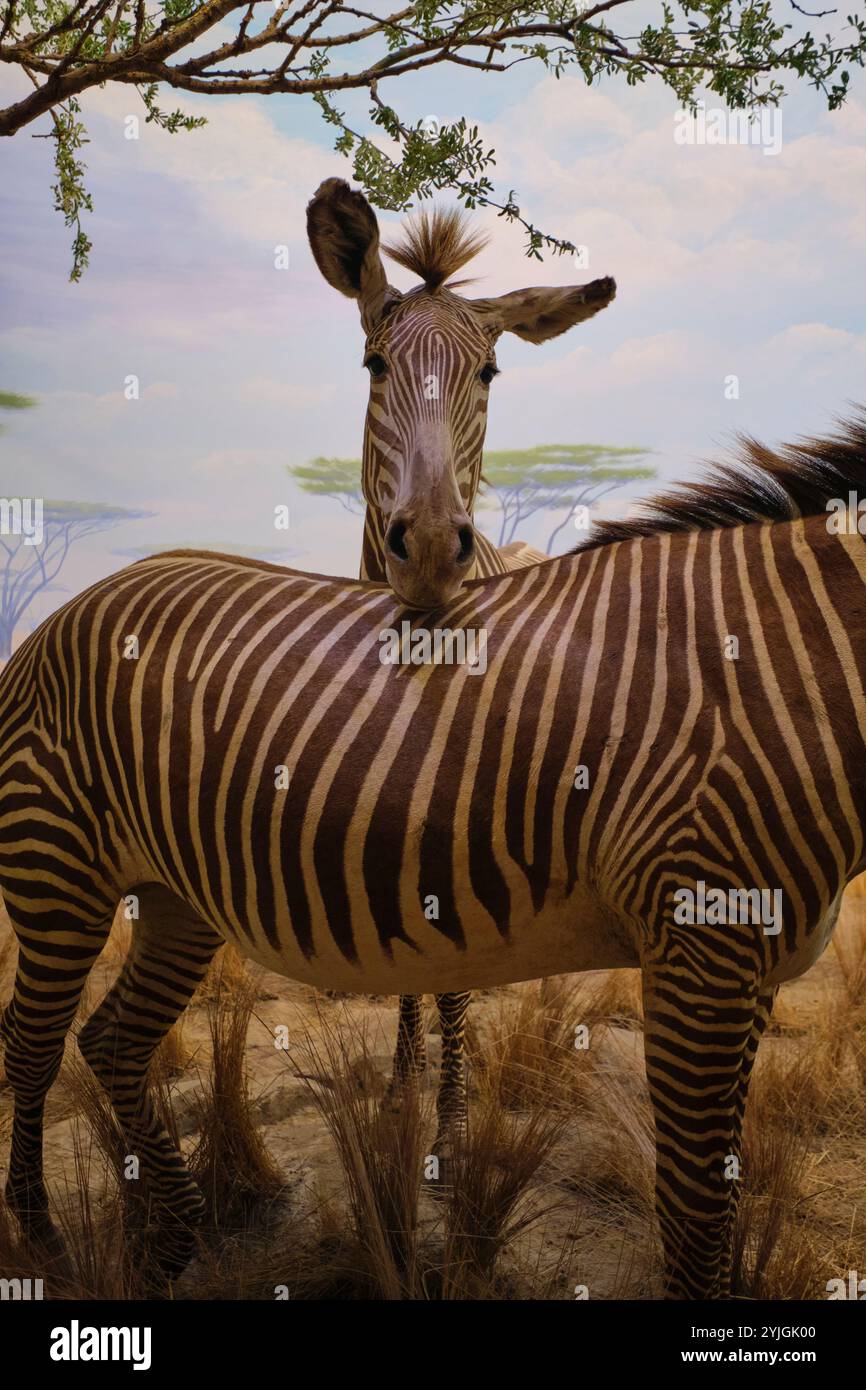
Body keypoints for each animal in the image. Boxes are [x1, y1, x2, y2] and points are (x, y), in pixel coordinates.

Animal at [3, 416, 866, 1297]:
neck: (795, 670)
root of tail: (71, 607)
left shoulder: (755, 963)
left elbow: (724, 1194)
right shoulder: (700, 950)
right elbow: (696, 1219)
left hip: (174, 895)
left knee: (112, 1040)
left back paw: (172, 1235)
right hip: (56, 870)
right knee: (31, 1042)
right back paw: (44, 1243)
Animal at [306, 176, 617, 1149]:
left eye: (489, 375)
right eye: (373, 366)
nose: (436, 548)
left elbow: (454, 977)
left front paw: (449, 1125)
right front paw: (400, 1087)